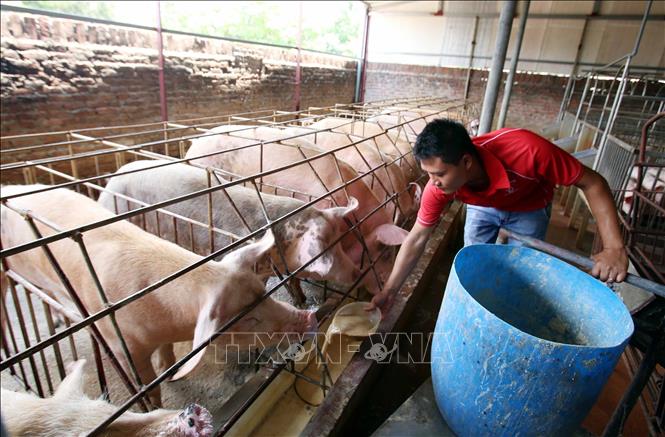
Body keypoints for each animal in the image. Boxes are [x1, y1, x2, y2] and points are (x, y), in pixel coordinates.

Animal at [0, 185, 316, 406]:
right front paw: (156, 404)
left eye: (264, 293)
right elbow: (148, 386)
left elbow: (166, 354)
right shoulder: (122, 346)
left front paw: (170, 372)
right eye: (247, 319)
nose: (308, 316)